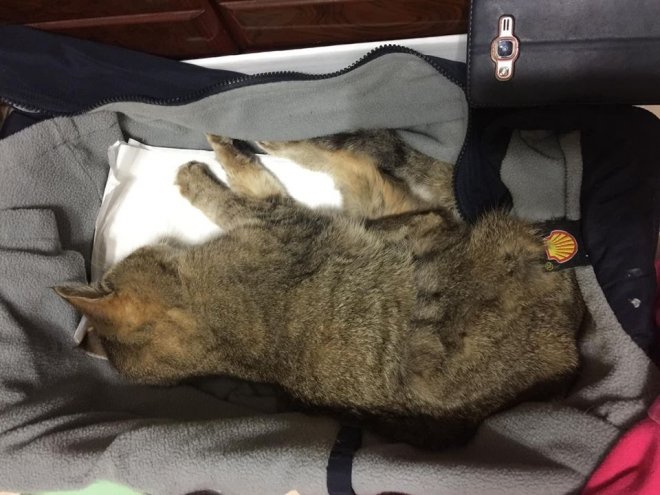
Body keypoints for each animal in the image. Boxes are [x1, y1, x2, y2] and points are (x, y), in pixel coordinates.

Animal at [56, 131, 583, 448]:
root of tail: (571, 347)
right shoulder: (281, 218)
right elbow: (237, 191)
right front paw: (200, 175)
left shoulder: (280, 219)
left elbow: (238, 188)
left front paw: (202, 171)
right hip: (428, 223)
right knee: (374, 175)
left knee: (374, 173)